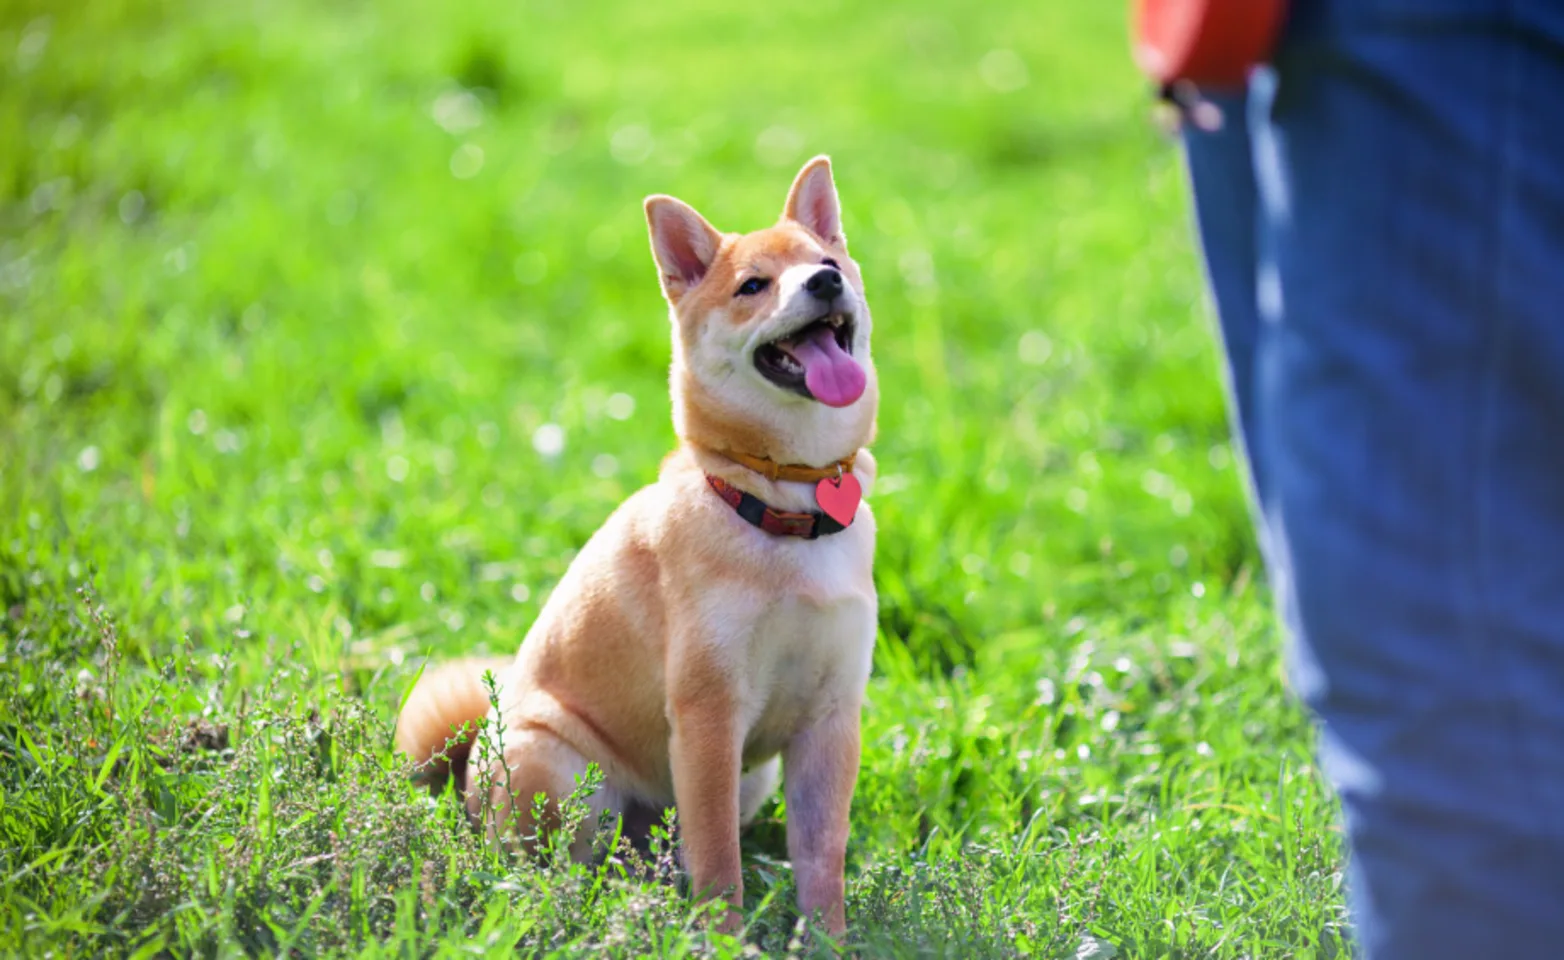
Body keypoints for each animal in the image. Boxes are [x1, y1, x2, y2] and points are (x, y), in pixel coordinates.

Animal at [394, 160, 882, 938]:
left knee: (654, 856)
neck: (782, 502)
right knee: (550, 869)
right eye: (753, 286)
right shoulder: (708, 715)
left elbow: (820, 858)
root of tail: (468, 783)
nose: (825, 284)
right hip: (559, 767)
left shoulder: (831, 720)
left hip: (749, 780)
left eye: (828, 264)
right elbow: (717, 861)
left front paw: (827, 942)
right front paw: (724, 942)